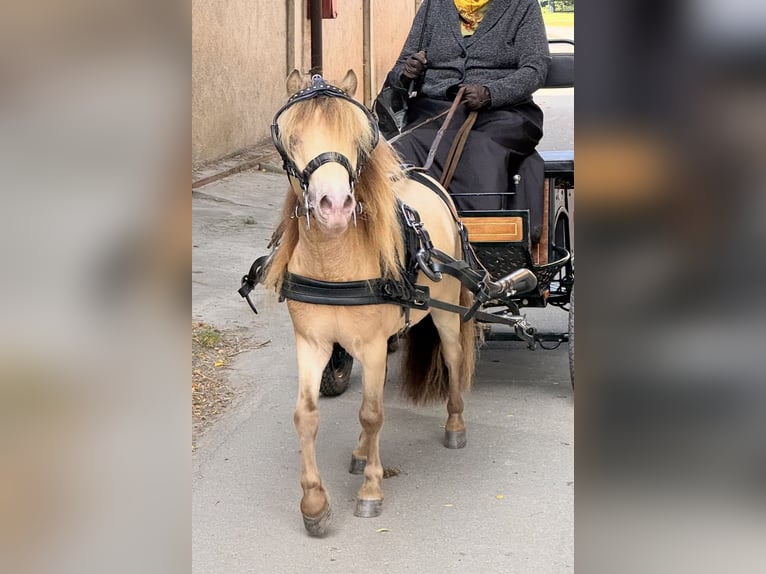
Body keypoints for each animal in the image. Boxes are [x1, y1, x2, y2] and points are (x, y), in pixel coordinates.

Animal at [262, 70, 476, 536]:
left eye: (357, 139)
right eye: (291, 137)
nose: (335, 206)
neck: (334, 263)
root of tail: (427, 176)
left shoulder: (375, 345)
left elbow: (373, 414)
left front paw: (372, 492)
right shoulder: (312, 342)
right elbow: (306, 415)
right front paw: (314, 505)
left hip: (445, 312)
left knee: (453, 358)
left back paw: (454, 424)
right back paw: (361, 454)